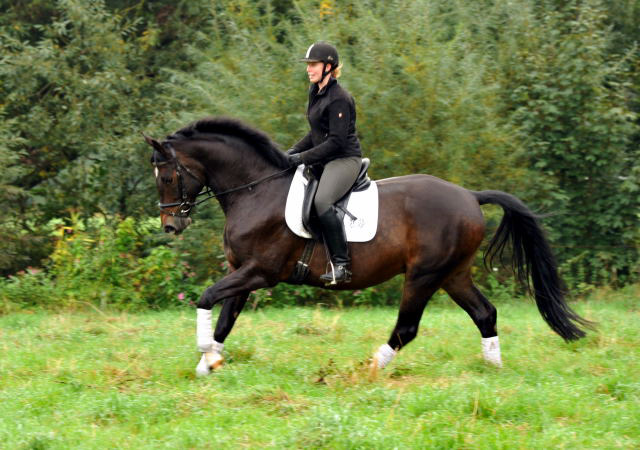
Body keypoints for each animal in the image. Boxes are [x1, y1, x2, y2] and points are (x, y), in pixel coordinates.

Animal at [142, 117, 592, 376]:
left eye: (167, 177)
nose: (171, 225)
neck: (256, 190)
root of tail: (469, 195)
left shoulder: (259, 272)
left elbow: (206, 298)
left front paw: (204, 355)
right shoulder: (243, 272)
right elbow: (225, 319)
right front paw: (209, 363)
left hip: (424, 274)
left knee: (407, 327)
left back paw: (370, 367)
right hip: (453, 274)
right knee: (485, 313)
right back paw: (493, 369)